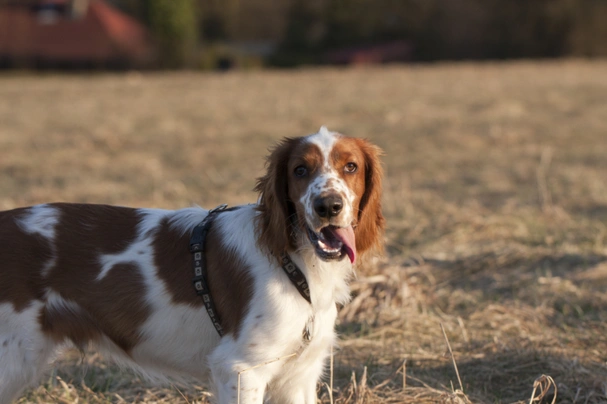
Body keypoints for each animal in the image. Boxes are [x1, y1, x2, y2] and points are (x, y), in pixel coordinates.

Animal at [0, 127, 382, 404]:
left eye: (351, 167)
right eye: (300, 170)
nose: (327, 206)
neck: (293, 259)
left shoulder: (298, 377)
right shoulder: (240, 368)